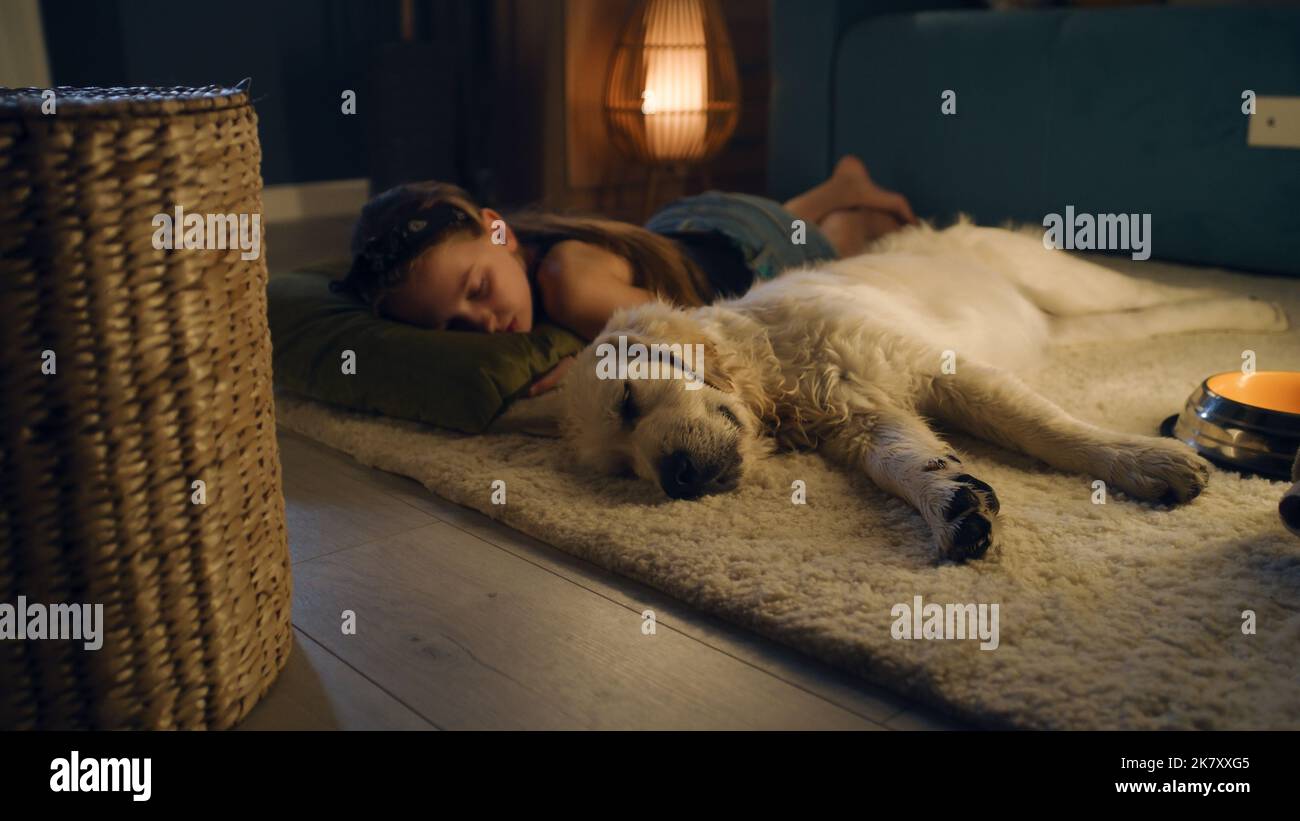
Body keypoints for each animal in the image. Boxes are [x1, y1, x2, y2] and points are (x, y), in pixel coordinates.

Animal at [499, 220, 1289, 561]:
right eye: (622, 468)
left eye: (630, 401)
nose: (679, 478)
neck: (774, 369)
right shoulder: (863, 418)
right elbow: (904, 461)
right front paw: (952, 504)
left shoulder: (940, 368)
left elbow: (1046, 428)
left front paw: (1146, 462)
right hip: (1059, 324)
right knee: (1140, 320)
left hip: (1062, 278)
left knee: (1164, 296)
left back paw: (1261, 311)